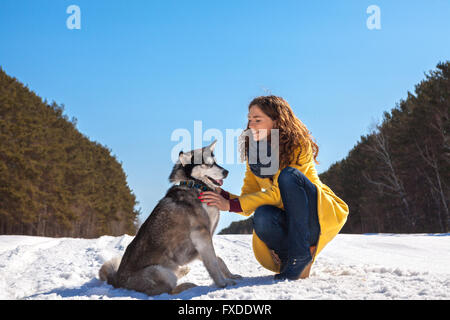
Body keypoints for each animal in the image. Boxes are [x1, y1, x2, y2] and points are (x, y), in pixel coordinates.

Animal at [97, 141, 241, 296]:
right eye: (206, 164)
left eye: (215, 162)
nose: (226, 172)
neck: (196, 185)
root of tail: (117, 281)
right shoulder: (201, 235)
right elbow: (213, 263)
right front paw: (223, 283)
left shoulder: (200, 244)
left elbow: (219, 260)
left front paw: (231, 275)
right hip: (160, 272)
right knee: (168, 290)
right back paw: (189, 285)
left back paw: (183, 271)